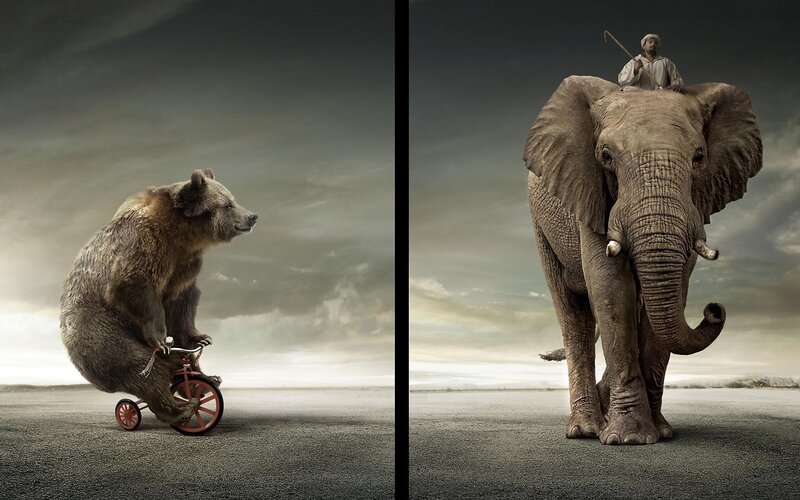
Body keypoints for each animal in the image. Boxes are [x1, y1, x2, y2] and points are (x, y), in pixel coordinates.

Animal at [60, 169, 257, 424]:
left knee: (175, 364)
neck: (181, 234)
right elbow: (134, 284)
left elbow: (183, 301)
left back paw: (206, 381)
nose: (252, 216)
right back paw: (179, 409)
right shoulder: (145, 243)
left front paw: (200, 338)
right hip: (98, 327)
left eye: (233, 199)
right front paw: (162, 339)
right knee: (139, 366)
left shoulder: (183, 264)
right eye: (227, 204)